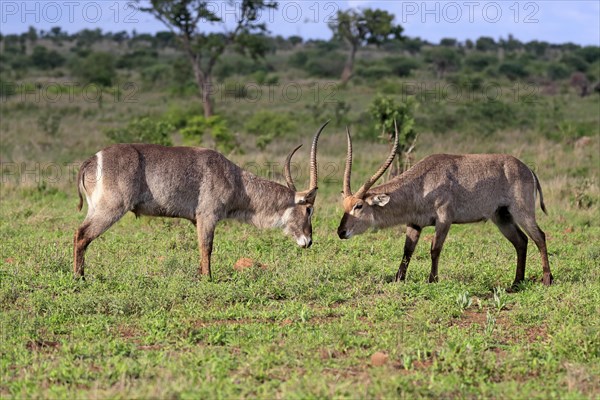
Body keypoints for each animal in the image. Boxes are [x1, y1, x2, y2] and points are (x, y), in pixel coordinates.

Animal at [74, 120, 330, 280]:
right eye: (309, 210)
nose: (308, 241)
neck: (236, 180)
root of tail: (91, 160)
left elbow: (201, 247)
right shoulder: (207, 215)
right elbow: (207, 247)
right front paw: (208, 279)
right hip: (111, 208)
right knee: (82, 235)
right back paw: (79, 279)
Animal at [338, 122, 552, 288]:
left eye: (359, 206)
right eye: (344, 206)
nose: (341, 232)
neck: (422, 184)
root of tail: (528, 169)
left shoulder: (444, 219)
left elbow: (435, 249)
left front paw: (432, 280)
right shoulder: (414, 224)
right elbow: (407, 251)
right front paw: (398, 279)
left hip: (522, 212)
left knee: (539, 237)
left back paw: (547, 280)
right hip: (502, 217)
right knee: (521, 241)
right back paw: (516, 283)